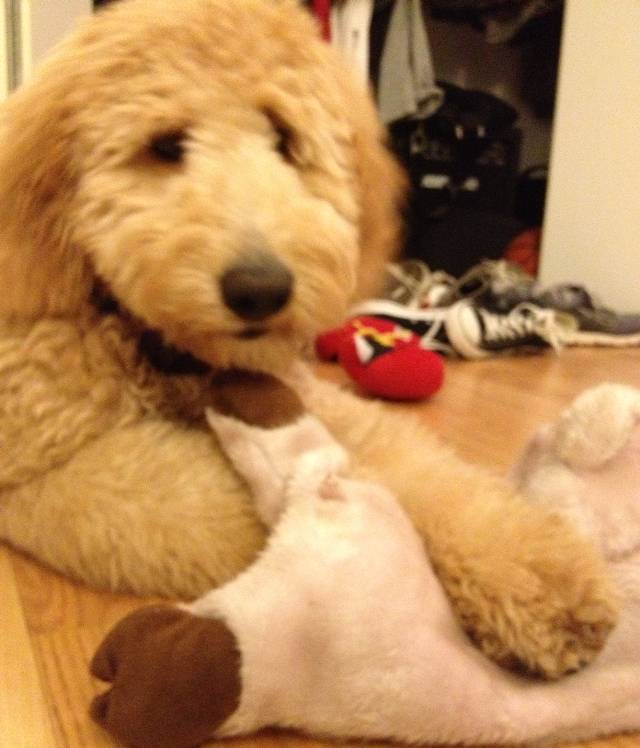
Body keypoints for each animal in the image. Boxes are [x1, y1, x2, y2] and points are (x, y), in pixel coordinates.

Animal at [0, 0, 616, 676]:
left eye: (284, 140)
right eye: (164, 144)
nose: (260, 289)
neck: (162, 349)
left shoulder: (307, 393)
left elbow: (420, 466)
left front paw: (538, 573)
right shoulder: (46, 465)